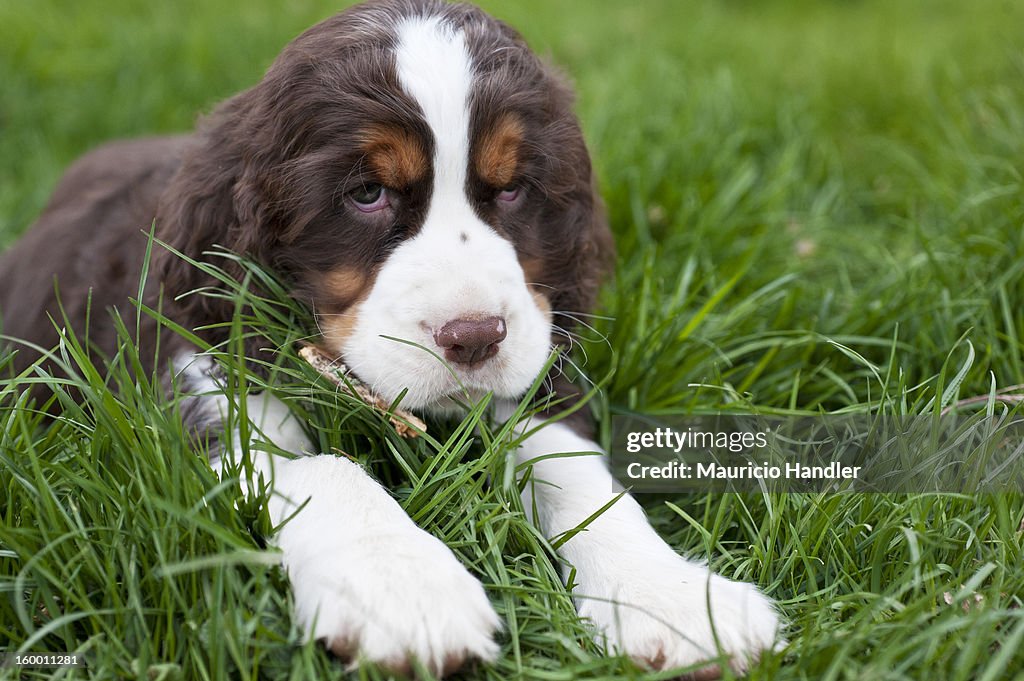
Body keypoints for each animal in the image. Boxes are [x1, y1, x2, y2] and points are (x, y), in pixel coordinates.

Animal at [0, 0, 778, 675]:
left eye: (513, 189)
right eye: (366, 194)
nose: (474, 337)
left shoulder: (540, 363)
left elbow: (577, 470)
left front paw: (677, 602)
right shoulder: (208, 388)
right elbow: (324, 470)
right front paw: (406, 592)